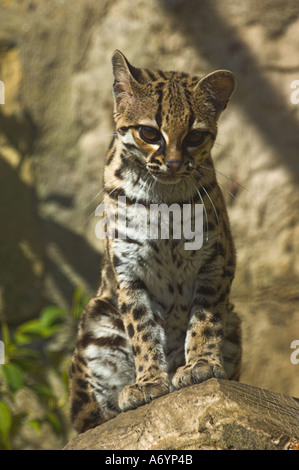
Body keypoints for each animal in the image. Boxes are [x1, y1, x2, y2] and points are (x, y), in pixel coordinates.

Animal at [69, 50, 243, 434]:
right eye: (149, 132)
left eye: (195, 137)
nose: (174, 164)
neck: (164, 196)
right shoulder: (127, 269)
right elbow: (142, 328)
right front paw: (149, 381)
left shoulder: (216, 258)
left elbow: (206, 318)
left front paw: (200, 363)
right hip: (96, 318)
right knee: (92, 416)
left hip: (236, 320)